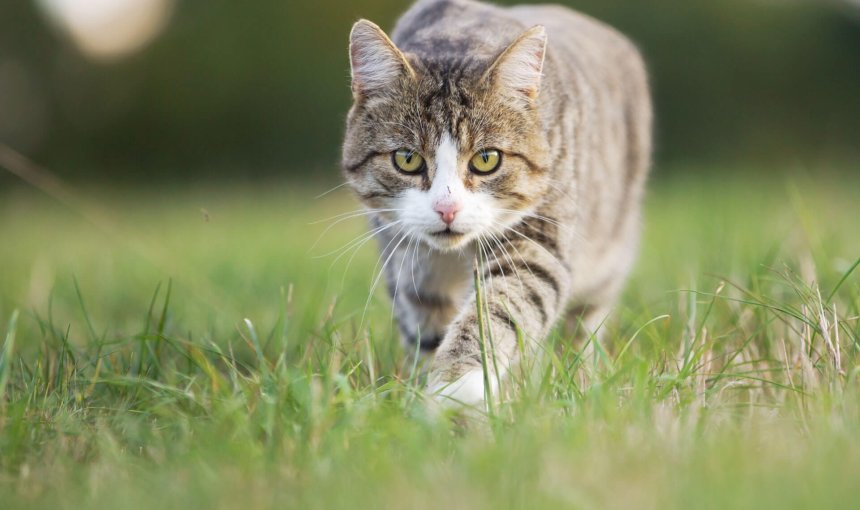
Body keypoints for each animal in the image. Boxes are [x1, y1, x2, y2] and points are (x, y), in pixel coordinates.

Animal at [340, 0, 648, 406]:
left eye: (487, 160)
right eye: (407, 159)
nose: (447, 209)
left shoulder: (538, 235)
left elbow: (501, 307)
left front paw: (459, 386)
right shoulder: (407, 259)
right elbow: (426, 324)